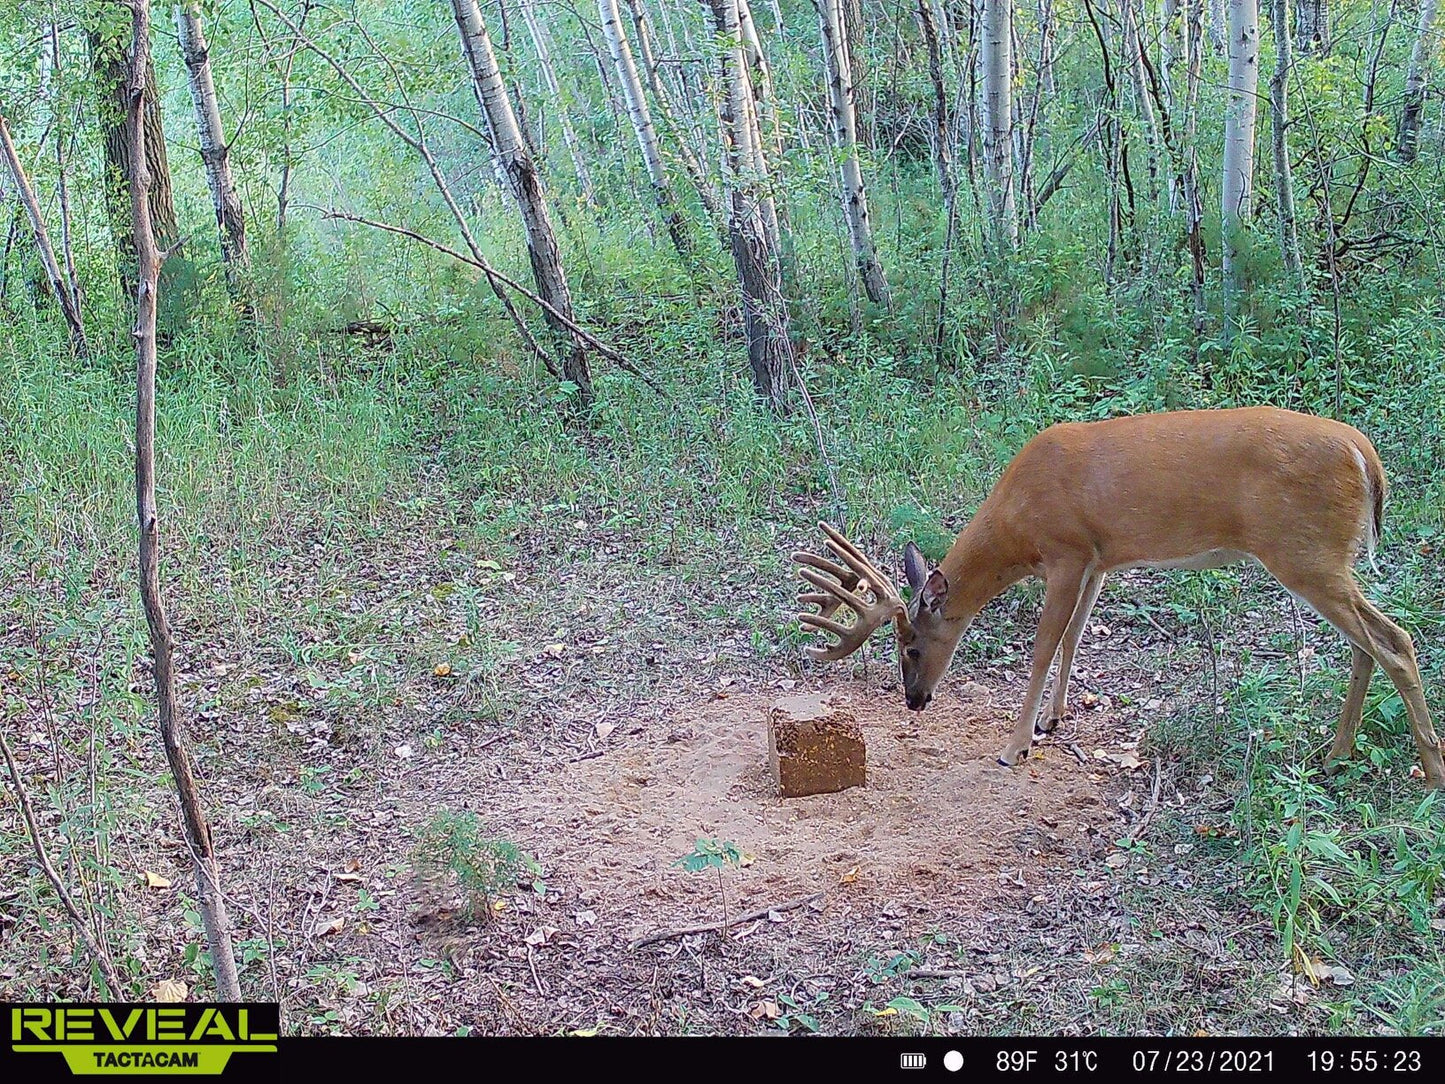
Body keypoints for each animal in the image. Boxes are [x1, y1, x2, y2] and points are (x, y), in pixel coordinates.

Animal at [793, 406, 1445, 789]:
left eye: (910, 648)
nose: (914, 701)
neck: (1017, 525)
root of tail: (1367, 457)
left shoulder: (1065, 551)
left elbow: (1043, 646)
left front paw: (1014, 746)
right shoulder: (1099, 560)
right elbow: (1075, 637)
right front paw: (1053, 720)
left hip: (1303, 552)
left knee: (1395, 640)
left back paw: (1430, 769)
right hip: (1324, 558)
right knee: (1369, 642)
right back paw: (1336, 755)